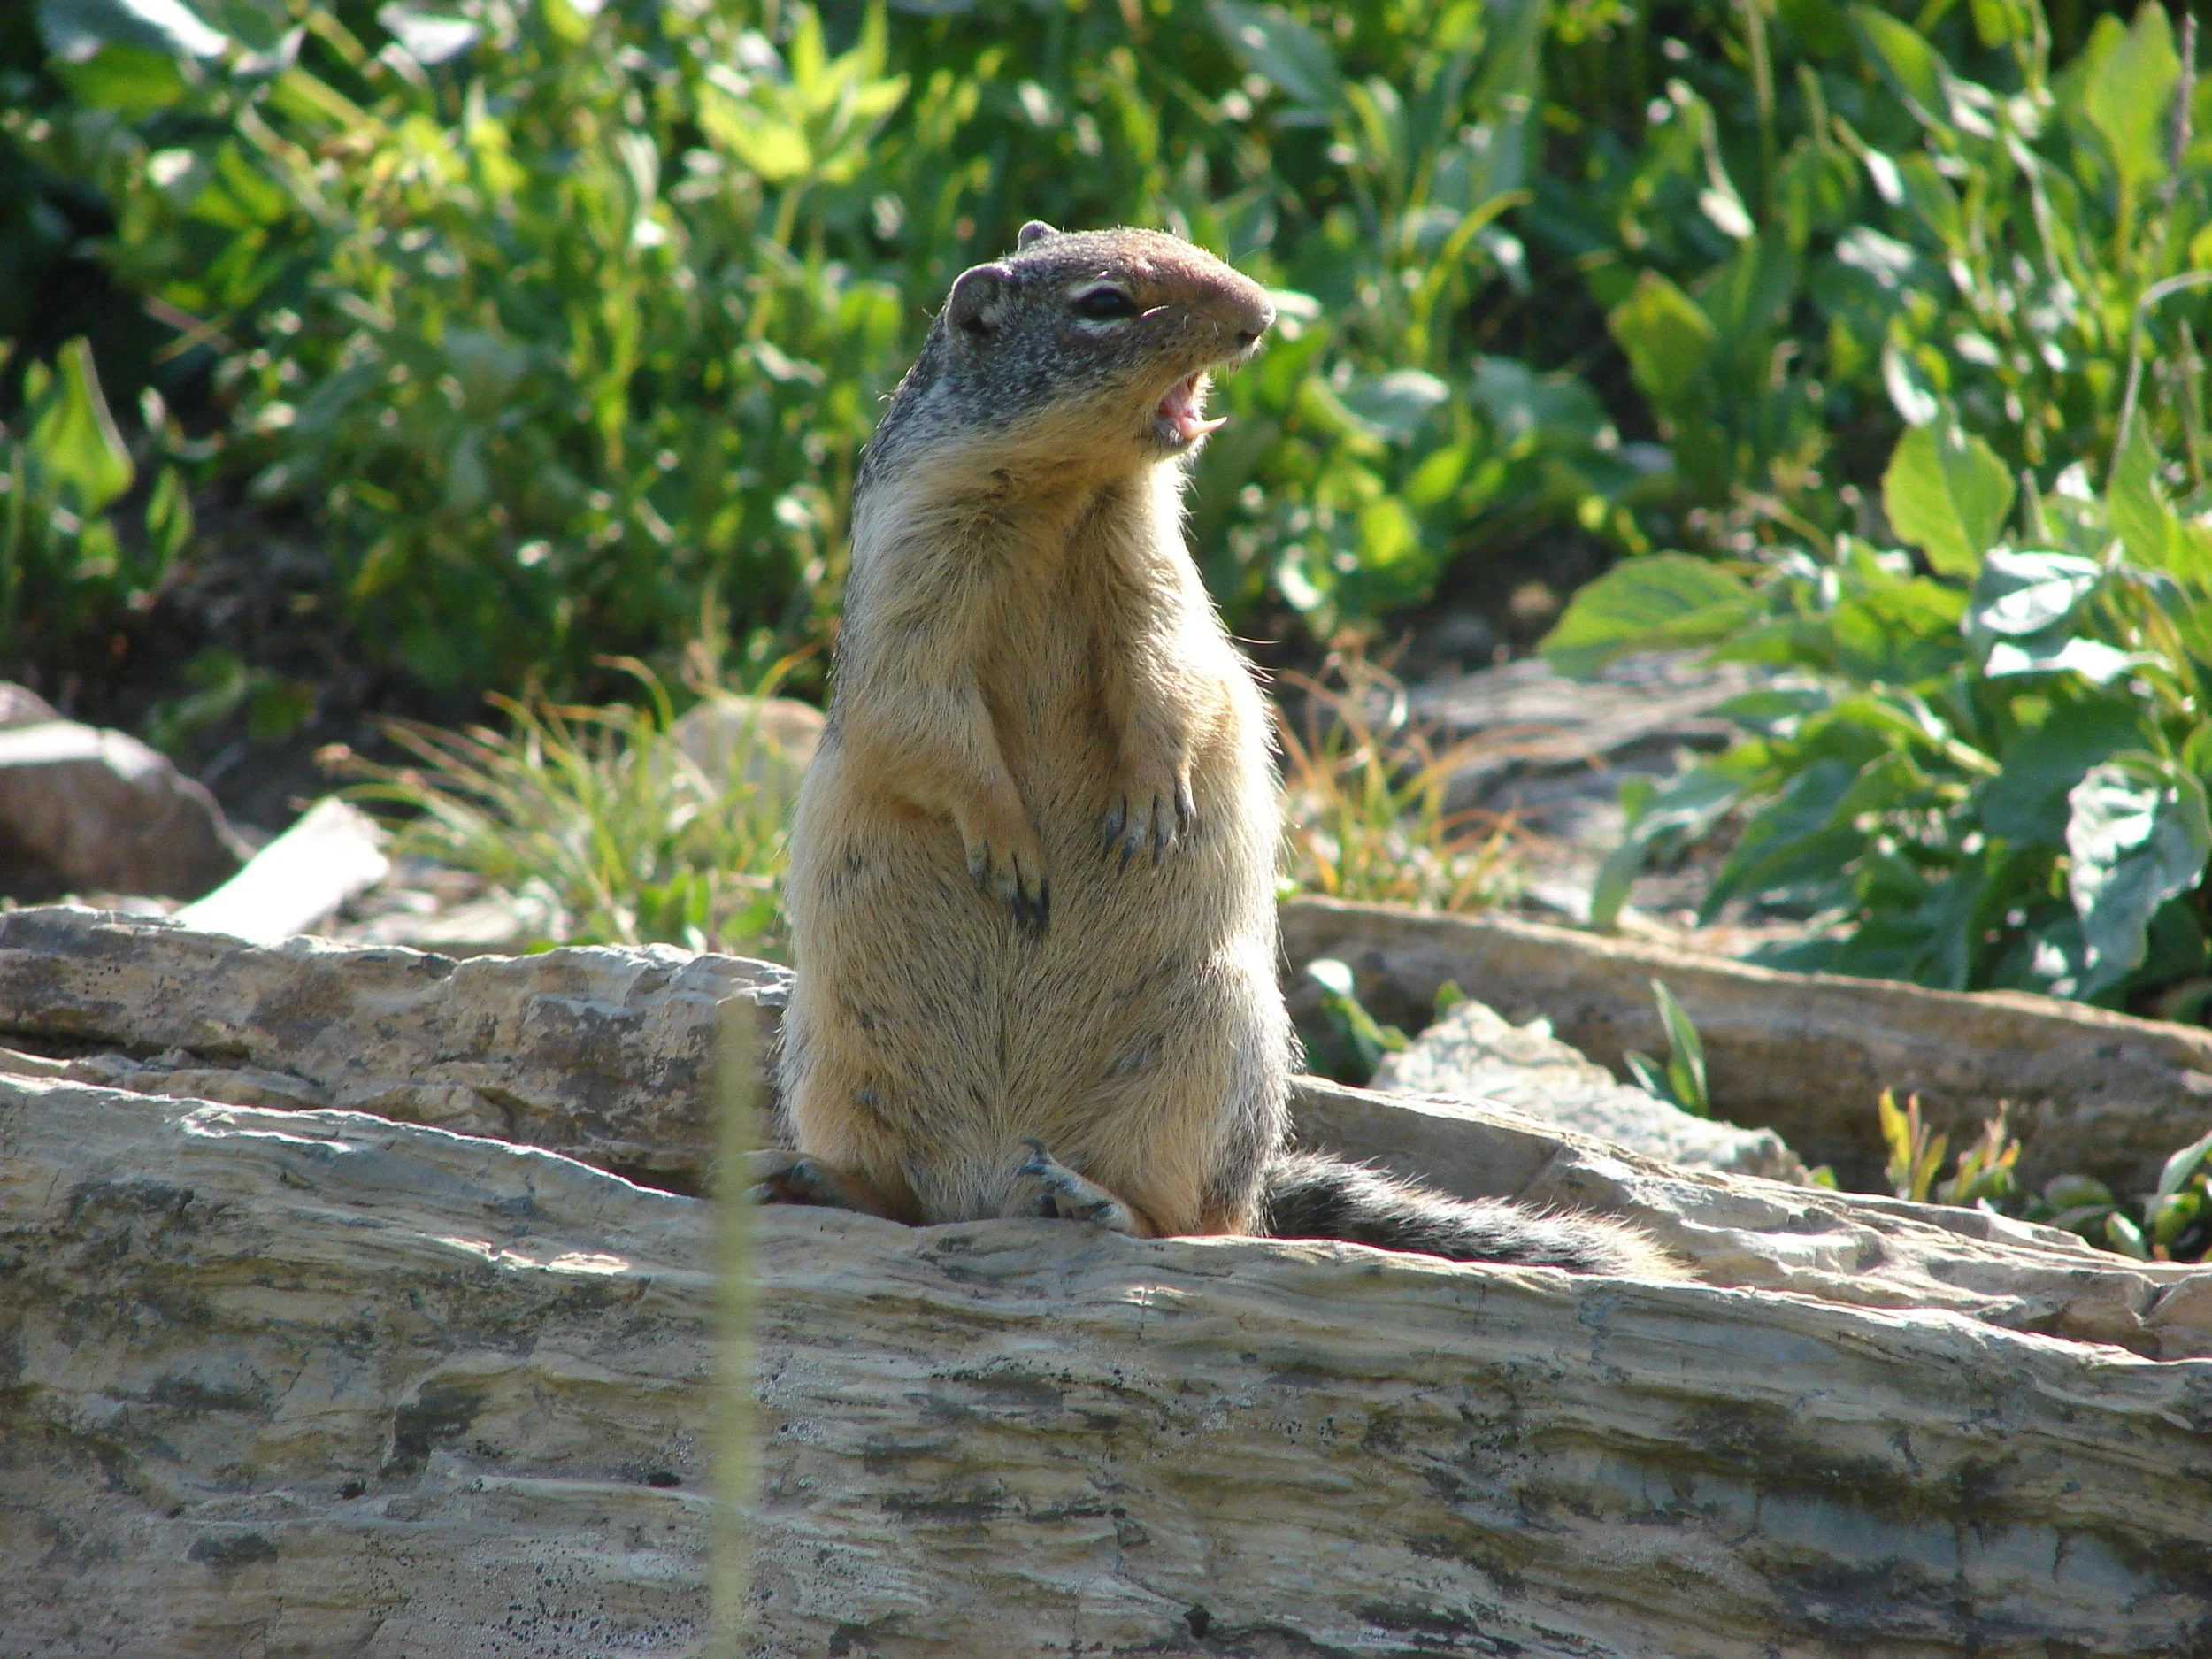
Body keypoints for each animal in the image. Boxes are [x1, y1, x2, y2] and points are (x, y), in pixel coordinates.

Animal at [761, 222, 1679, 1280]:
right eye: (1105, 303)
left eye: (1180, 240)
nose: (1263, 315)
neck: (1061, 495)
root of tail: (992, 1179)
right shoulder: (910, 578)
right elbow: (926, 716)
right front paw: (1012, 846)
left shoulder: (1157, 575)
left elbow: (1173, 676)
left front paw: (1153, 801)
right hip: (834, 1054)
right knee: (908, 1201)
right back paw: (822, 1179)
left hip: (1208, 1054)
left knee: (1196, 1220)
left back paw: (1093, 1199)